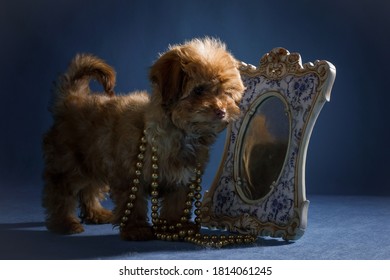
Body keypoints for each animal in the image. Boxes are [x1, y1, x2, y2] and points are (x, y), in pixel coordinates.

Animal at [42, 37, 244, 240]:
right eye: (199, 90)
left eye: (226, 92)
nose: (221, 111)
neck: (180, 131)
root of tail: (72, 99)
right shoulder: (129, 175)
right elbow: (133, 203)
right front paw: (136, 229)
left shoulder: (182, 177)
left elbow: (177, 203)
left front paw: (175, 226)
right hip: (70, 162)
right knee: (61, 191)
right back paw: (64, 223)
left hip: (94, 159)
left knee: (90, 187)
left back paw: (96, 213)